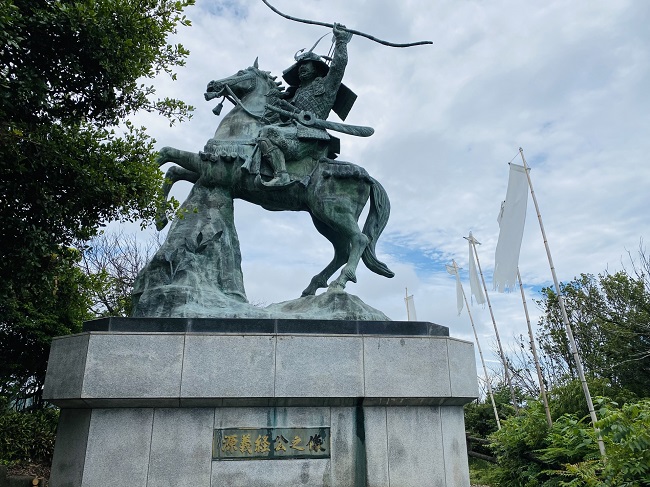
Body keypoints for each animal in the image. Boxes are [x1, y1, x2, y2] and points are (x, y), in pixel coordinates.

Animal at [156, 61, 394, 298]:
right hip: (322, 219)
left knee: (359, 240)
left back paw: (339, 283)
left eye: (241, 72)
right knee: (343, 250)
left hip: (334, 211)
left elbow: (166, 153)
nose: (212, 85)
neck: (241, 130)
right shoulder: (211, 173)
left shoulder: (215, 166)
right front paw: (160, 219)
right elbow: (173, 170)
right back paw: (312, 288)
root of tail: (368, 177)